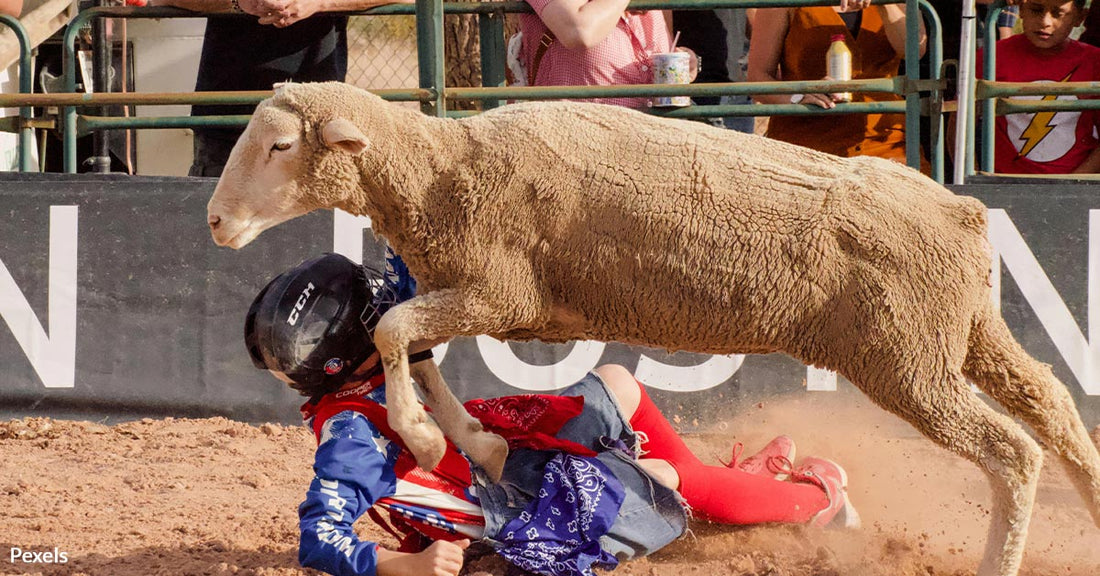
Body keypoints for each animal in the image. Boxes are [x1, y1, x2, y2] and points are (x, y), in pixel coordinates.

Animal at [206, 81, 1100, 576]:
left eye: (279, 144)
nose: (214, 221)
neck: (438, 171)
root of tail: (962, 211)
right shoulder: (471, 290)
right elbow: (413, 343)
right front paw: (471, 439)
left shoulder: (500, 291)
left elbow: (394, 329)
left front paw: (429, 440)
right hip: (962, 336)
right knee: (1054, 404)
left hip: (908, 360)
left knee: (1012, 451)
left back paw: (995, 560)